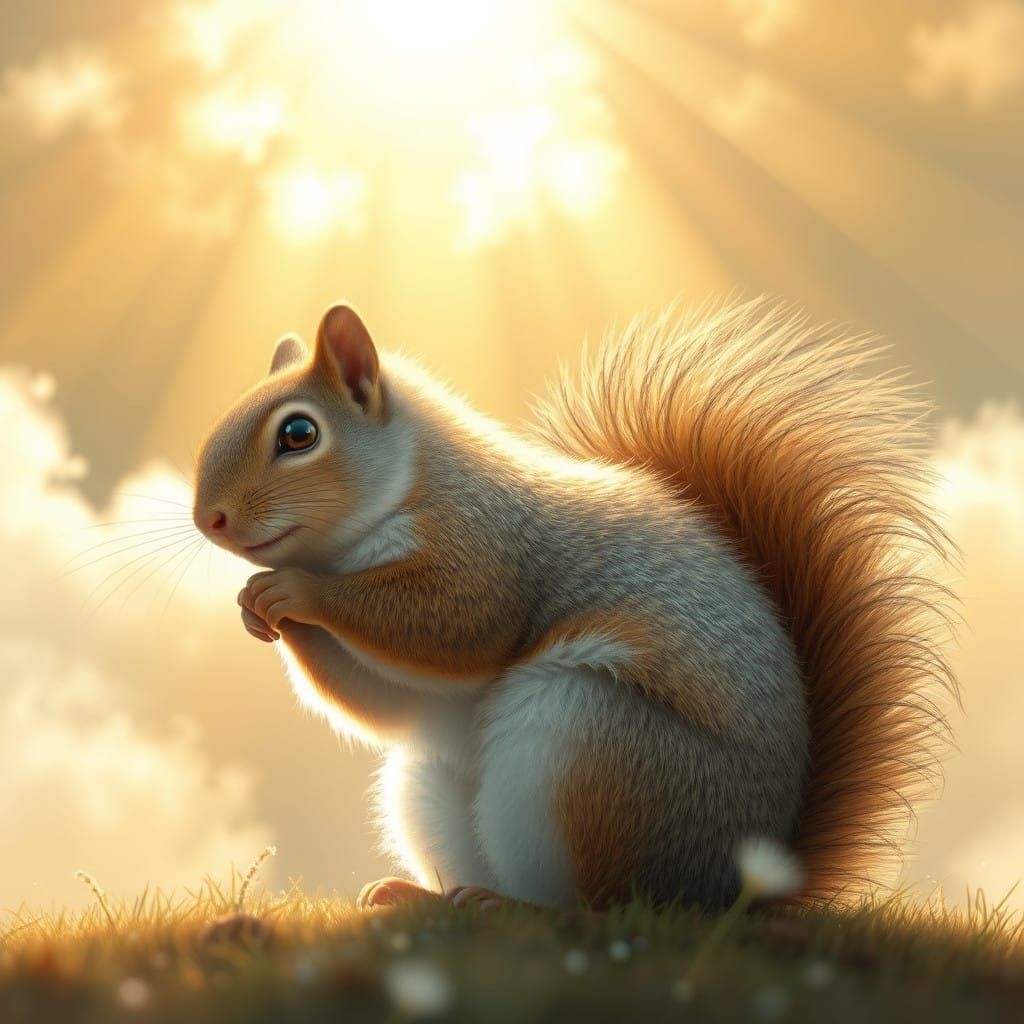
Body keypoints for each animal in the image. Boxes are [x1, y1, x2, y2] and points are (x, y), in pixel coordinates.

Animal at [193, 299, 956, 911]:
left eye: (299, 434)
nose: (209, 520)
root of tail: (734, 884)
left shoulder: (489, 548)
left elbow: (454, 624)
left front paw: (297, 592)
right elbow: (384, 701)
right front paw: (257, 606)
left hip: (590, 746)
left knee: (600, 908)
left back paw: (512, 909)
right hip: (434, 784)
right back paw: (424, 897)